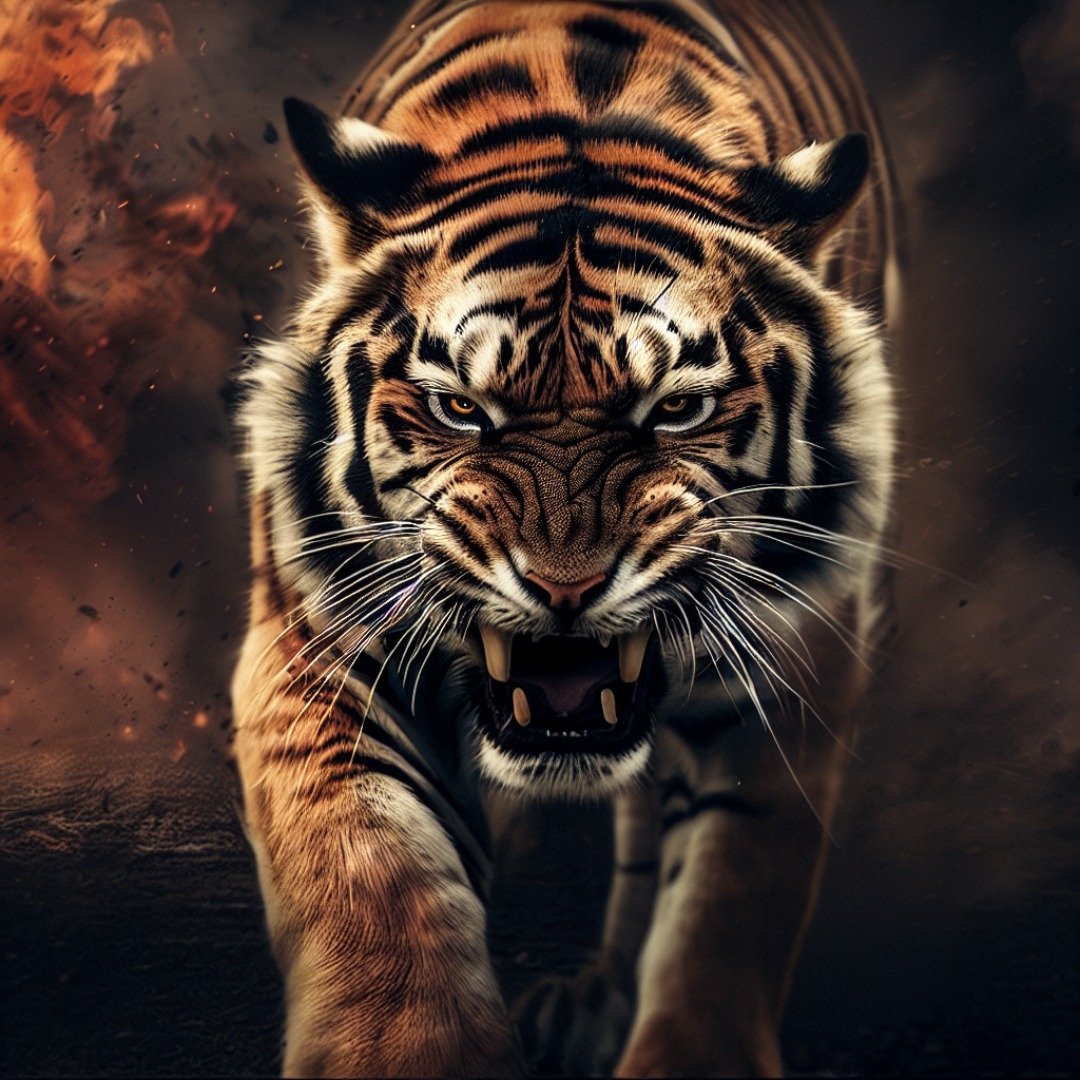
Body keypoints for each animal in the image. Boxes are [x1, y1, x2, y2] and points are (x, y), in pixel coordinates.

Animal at [231, 0, 897, 1075]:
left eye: (677, 409)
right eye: (460, 408)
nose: (565, 588)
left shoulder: (796, 656)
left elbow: (726, 905)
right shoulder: (317, 644)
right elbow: (376, 877)